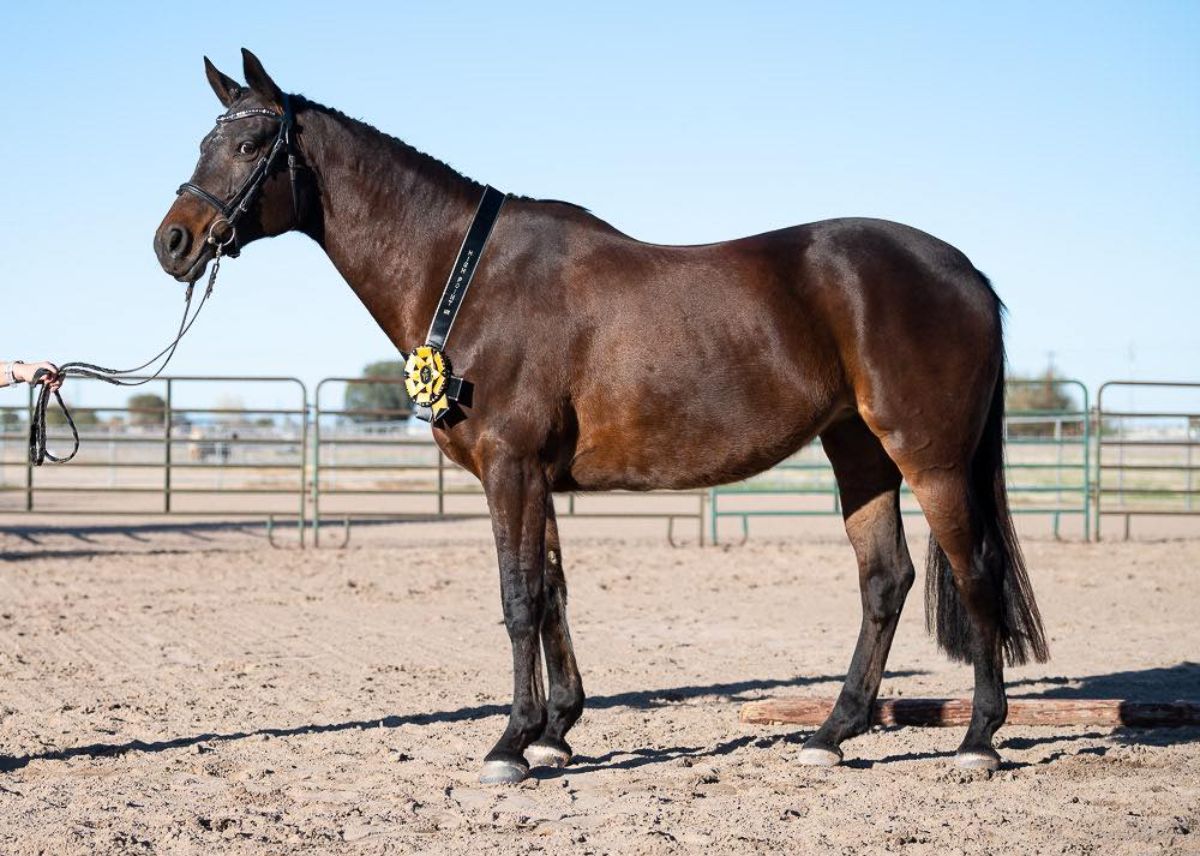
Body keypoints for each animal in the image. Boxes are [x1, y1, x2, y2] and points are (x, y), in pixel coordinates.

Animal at [154, 48, 1046, 782]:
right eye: (202, 143)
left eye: (248, 148)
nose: (173, 243)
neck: (468, 272)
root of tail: (966, 273)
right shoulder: (533, 476)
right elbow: (552, 590)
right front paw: (556, 731)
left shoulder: (511, 467)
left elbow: (518, 598)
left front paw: (510, 745)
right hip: (857, 449)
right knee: (884, 580)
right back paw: (832, 733)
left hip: (929, 458)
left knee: (976, 573)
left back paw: (978, 741)